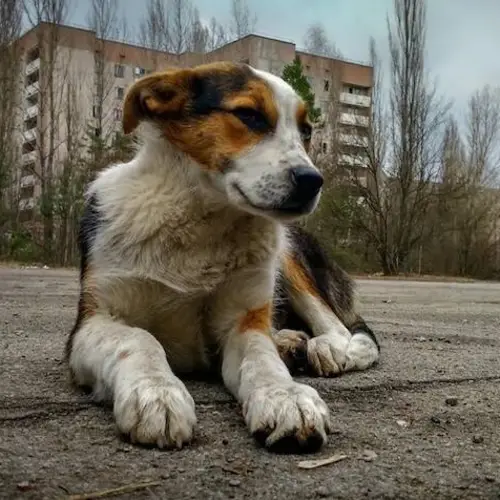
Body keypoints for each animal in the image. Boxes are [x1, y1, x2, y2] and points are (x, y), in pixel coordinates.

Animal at [66, 61, 378, 454]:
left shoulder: (242, 322)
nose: (312, 181)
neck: (202, 221)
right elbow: (137, 339)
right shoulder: (92, 321)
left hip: (287, 251)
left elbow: (262, 360)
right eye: (249, 115)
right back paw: (290, 342)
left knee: (342, 328)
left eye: (305, 131)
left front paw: (286, 395)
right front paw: (156, 391)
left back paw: (326, 349)